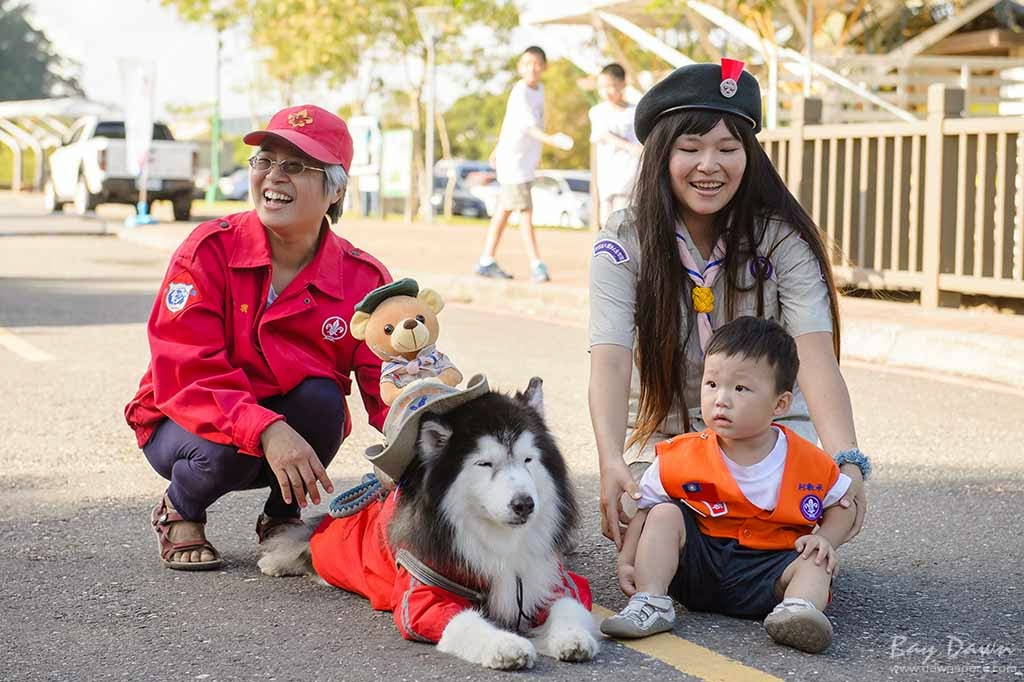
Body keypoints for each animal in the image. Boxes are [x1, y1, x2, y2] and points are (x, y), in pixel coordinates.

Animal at [256, 376, 602, 667]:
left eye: (528, 459)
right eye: (484, 463)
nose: (524, 504)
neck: (499, 540)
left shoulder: (555, 579)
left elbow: (569, 606)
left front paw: (573, 638)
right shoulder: (422, 596)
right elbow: (465, 622)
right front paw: (505, 646)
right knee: (306, 541)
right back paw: (276, 561)